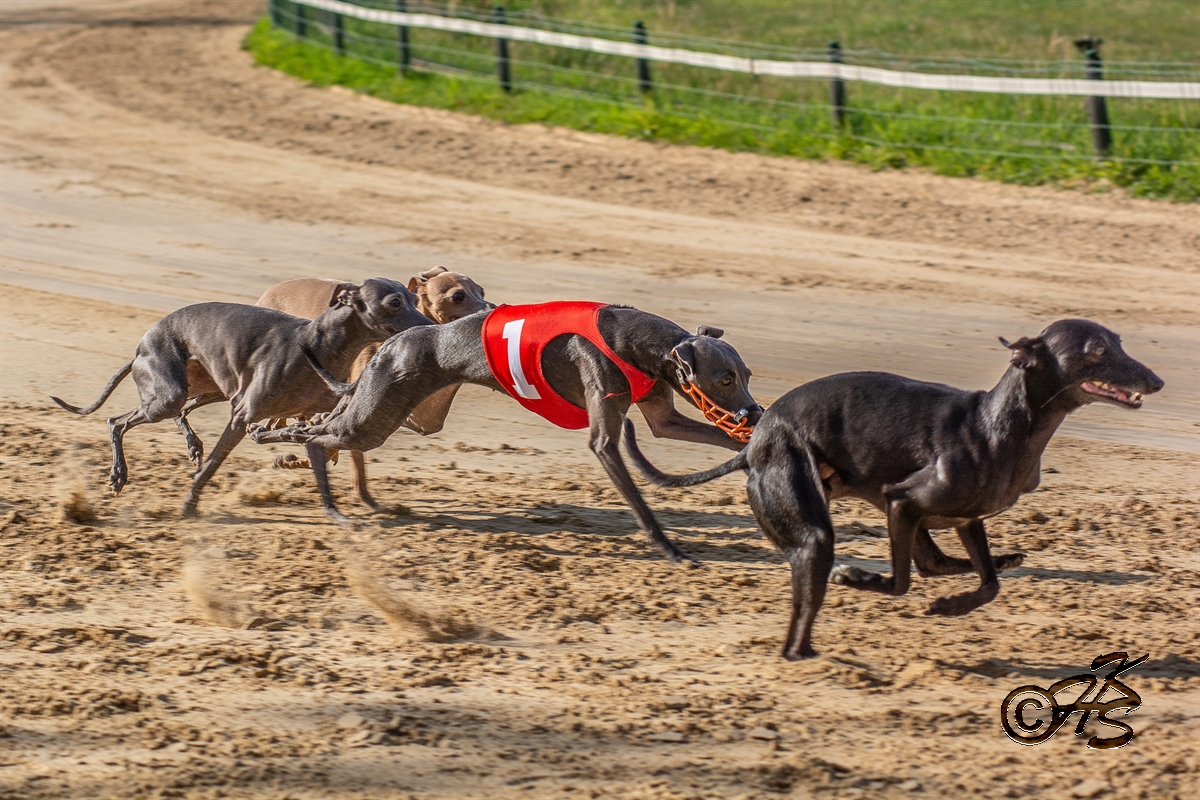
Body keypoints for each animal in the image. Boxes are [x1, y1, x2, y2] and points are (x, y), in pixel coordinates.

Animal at [51, 279, 433, 522]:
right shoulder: (241, 417)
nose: (430, 327)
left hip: (207, 388)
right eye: (394, 302)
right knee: (117, 421)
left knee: (180, 412)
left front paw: (336, 515)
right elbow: (211, 467)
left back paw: (191, 445)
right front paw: (188, 506)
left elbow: (321, 476)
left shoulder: (307, 423)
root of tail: (140, 349)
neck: (318, 344)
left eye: (416, 300)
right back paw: (119, 475)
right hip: (168, 395)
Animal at [249, 302, 763, 562]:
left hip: (377, 409)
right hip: (373, 417)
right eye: (725, 379)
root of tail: (390, 344)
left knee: (318, 428)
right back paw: (269, 440)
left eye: (747, 374)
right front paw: (671, 549)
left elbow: (705, 436)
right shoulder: (604, 436)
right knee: (314, 435)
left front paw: (752, 449)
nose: (756, 414)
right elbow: (637, 499)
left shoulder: (663, 420)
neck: (638, 340)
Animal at [622, 319, 1163, 659]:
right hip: (818, 533)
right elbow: (902, 583)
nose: (1155, 380)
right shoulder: (902, 502)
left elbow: (987, 583)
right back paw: (808, 644)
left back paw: (1003, 560)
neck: (999, 424)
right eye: (1097, 350)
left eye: (1118, 341)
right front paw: (869, 582)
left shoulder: (964, 519)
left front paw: (954, 602)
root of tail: (753, 445)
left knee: (935, 562)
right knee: (811, 614)